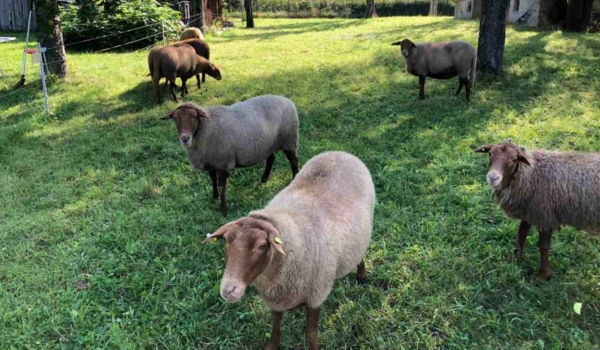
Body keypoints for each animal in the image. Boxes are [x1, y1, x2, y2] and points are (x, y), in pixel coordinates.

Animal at [161, 95, 298, 216]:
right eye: (176, 119)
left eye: (194, 118)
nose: (185, 139)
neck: (207, 127)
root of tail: (288, 100)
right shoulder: (211, 161)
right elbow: (212, 179)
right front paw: (214, 197)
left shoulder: (222, 162)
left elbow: (221, 187)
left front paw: (223, 210)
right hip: (268, 144)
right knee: (271, 159)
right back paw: (263, 180)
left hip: (289, 140)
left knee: (294, 161)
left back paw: (294, 178)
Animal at [204, 151, 376, 350]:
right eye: (226, 242)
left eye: (262, 245)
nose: (228, 290)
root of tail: (340, 152)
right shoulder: (276, 298)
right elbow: (275, 324)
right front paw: (272, 345)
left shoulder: (316, 295)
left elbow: (311, 334)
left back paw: (361, 275)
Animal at [474, 139, 600, 282]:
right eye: (490, 153)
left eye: (514, 159)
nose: (493, 177)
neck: (531, 174)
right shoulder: (529, 210)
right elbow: (521, 234)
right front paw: (515, 258)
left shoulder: (545, 215)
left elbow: (543, 245)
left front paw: (543, 274)